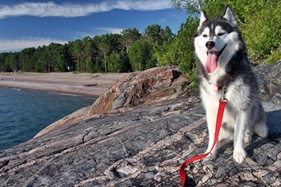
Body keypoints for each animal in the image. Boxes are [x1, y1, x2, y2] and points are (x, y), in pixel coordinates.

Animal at [194, 6, 266, 163]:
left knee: (249, 127)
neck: (222, 80)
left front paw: (238, 152)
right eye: (205, 35)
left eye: (220, 33)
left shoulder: (242, 108)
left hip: (254, 105)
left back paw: (248, 135)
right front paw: (210, 152)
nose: (209, 44)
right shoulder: (211, 110)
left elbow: (240, 133)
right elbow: (212, 136)